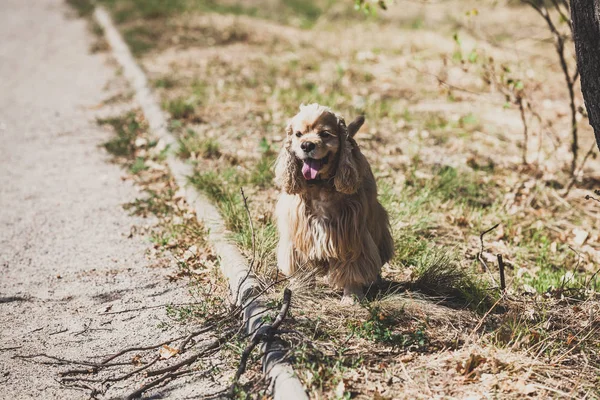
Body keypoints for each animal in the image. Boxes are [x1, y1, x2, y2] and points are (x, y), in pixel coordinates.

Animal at [276, 103, 394, 304]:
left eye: (325, 134)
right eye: (298, 134)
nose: (306, 145)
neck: (320, 185)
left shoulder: (351, 234)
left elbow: (354, 267)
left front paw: (352, 296)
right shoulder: (298, 233)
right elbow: (300, 266)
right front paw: (300, 289)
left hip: (374, 219)